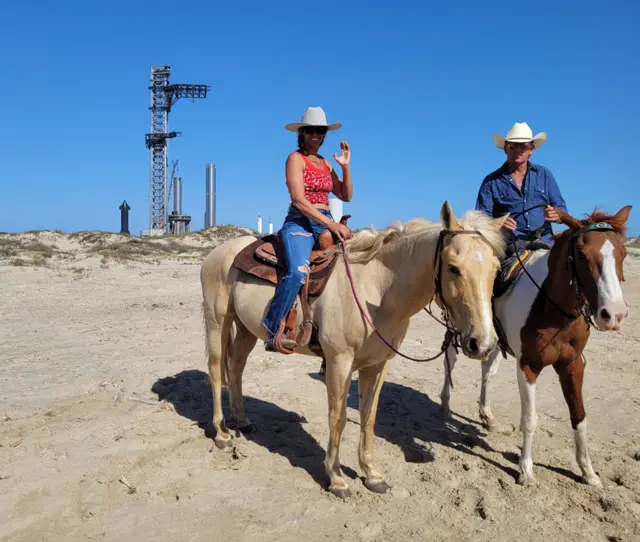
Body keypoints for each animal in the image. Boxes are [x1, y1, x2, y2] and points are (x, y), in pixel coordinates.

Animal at [202, 202, 508, 500]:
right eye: (454, 268)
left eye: (496, 270)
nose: (483, 343)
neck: (376, 289)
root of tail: (218, 253)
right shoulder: (339, 361)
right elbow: (337, 419)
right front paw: (337, 478)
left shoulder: (378, 364)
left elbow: (368, 416)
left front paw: (372, 474)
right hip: (218, 322)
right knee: (217, 372)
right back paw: (222, 433)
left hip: (246, 329)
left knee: (236, 367)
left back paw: (242, 420)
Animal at [440, 206, 632, 486]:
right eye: (582, 254)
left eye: (623, 253)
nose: (614, 315)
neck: (553, 309)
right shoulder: (529, 366)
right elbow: (530, 420)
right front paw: (526, 471)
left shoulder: (573, 364)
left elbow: (579, 417)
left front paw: (588, 472)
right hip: (460, 330)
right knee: (449, 360)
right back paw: (444, 405)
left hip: (492, 339)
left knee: (487, 371)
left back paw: (488, 417)